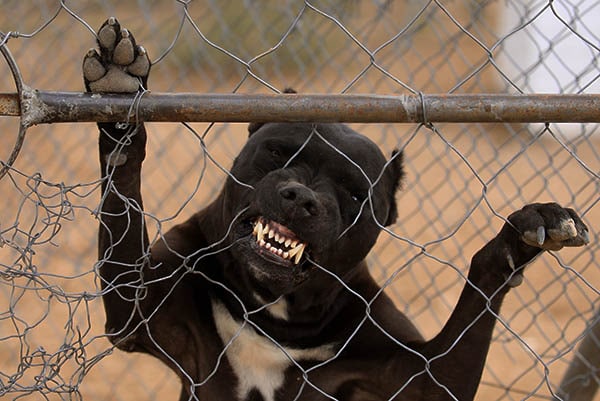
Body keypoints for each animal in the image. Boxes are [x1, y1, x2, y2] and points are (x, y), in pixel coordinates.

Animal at [85, 19, 592, 400]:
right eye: (277, 152)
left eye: (353, 194)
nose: (302, 198)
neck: (274, 317)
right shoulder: (136, 311)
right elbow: (123, 180)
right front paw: (119, 98)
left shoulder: (425, 380)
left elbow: (480, 281)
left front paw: (526, 233)